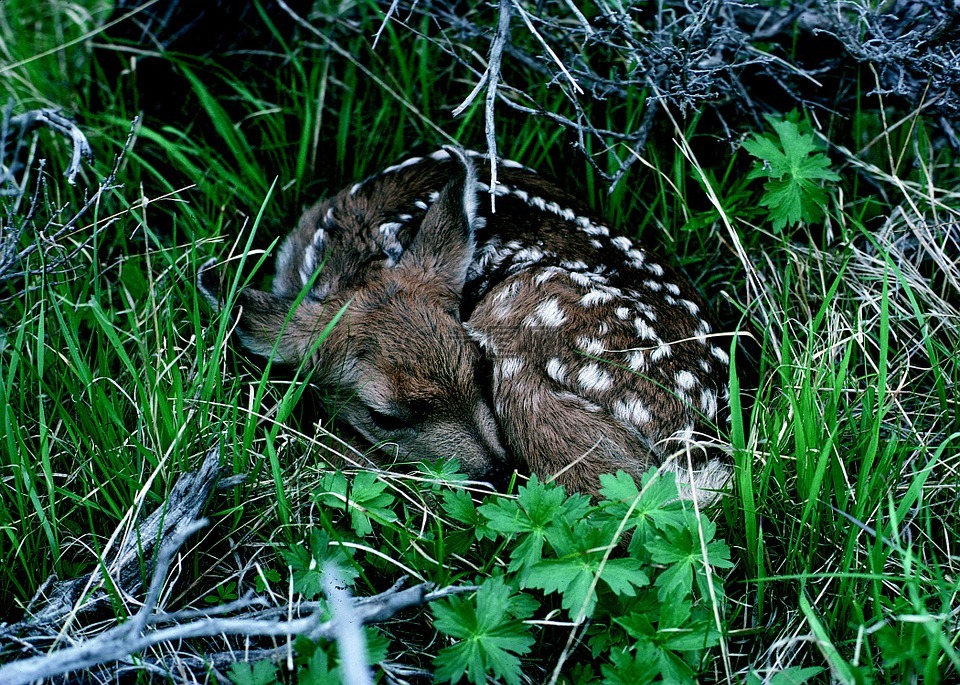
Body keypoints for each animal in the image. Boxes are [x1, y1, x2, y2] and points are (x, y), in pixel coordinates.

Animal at [199, 147, 734, 502]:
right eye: (384, 416)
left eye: (479, 368)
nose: (496, 473)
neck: (355, 254)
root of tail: (693, 442)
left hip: (526, 306)